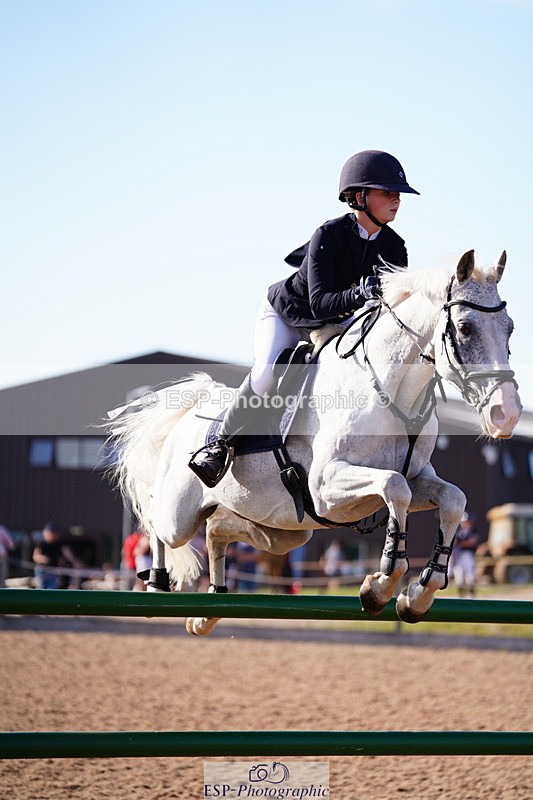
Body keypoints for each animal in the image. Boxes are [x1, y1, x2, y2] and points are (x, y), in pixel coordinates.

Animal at [105, 250, 521, 634]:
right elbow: (394, 487)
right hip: (181, 515)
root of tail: (191, 410)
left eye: (510, 328)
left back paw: (207, 612)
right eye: (465, 328)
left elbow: (452, 499)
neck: (391, 394)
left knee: (217, 531)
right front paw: (381, 584)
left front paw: (417, 595)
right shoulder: (326, 487)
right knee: (158, 521)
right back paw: (157, 585)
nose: (507, 414)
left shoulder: (415, 480)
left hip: (284, 530)